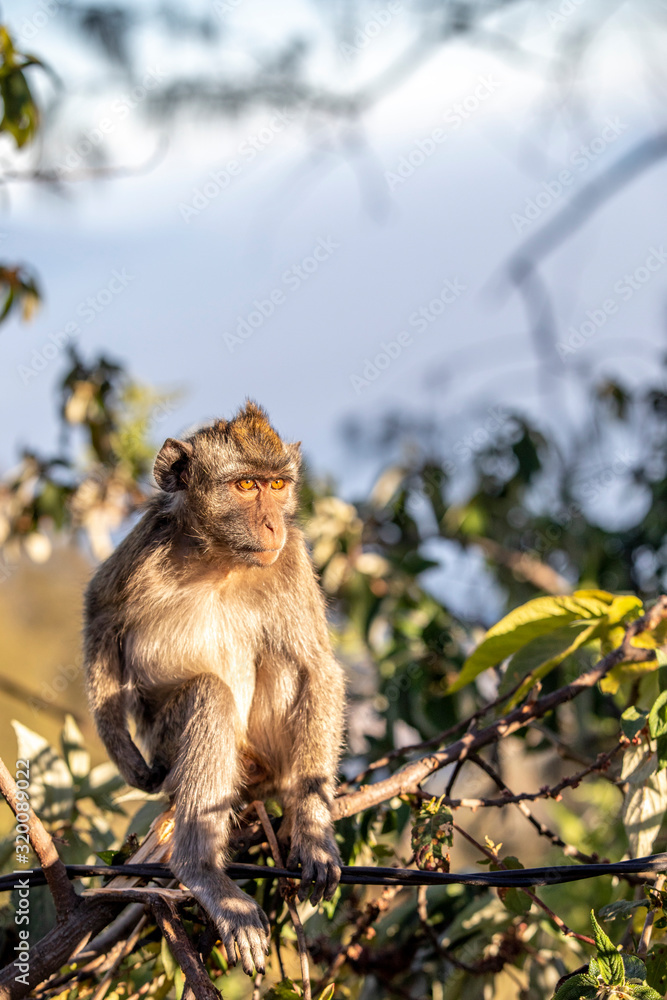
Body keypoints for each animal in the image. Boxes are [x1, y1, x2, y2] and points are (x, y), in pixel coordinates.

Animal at [83, 402, 346, 976]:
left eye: (276, 484)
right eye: (246, 485)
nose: (272, 523)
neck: (221, 558)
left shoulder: (292, 558)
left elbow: (316, 670)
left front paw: (315, 832)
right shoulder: (146, 543)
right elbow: (101, 612)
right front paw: (119, 745)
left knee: (282, 668)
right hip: (168, 742)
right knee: (210, 697)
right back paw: (202, 872)